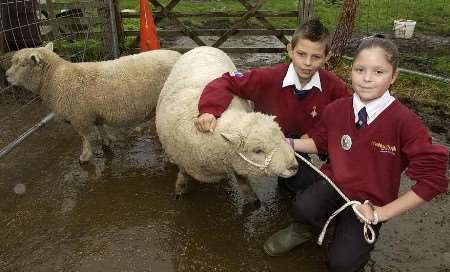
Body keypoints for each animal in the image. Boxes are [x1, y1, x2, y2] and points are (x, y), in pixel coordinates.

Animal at [6, 42, 180, 162]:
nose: (6, 76)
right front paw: (106, 141)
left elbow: (85, 137)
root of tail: (179, 55)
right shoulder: (94, 113)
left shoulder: (79, 117)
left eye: (22, 64)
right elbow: (100, 127)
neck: (55, 78)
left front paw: (85, 156)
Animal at [155, 46, 298, 205]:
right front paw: (179, 190)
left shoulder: (236, 162)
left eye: (282, 137)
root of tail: (203, 46)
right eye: (258, 151)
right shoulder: (183, 160)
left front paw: (252, 199)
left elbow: (243, 181)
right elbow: (182, 176)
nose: (294, 166)